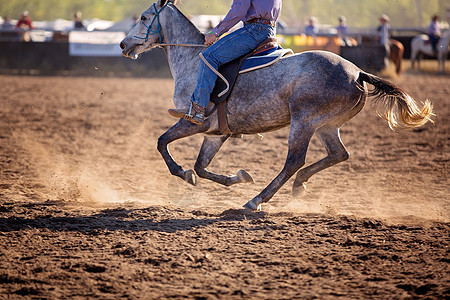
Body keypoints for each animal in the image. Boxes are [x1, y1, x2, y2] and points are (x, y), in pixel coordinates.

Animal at [118, 0, 432, 211]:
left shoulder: (194, 122)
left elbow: (162, 143)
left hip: (304, 122)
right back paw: (298, 185)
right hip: (326, 125)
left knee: (294, 161)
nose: (122, 45)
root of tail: (357, 73)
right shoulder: (216, 133)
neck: (194, 60)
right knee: (338, 154)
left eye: (144, 17)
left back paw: (256, 200)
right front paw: (239, 176)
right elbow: (202, 165)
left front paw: (184, 174)